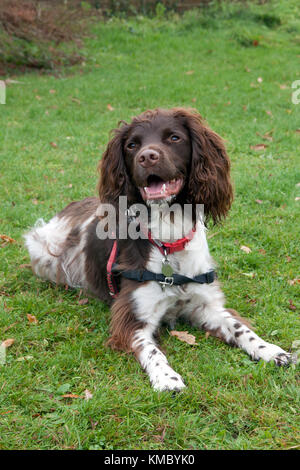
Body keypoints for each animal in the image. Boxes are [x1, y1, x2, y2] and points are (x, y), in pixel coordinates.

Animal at [24, 108, 292, 392]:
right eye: (132, 145)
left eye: (174, 137)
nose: (147, 156)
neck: (168, 240)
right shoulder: (131, 319)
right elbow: (151, 350)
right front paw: (167, 377)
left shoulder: (207, 305)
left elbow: (240, 327)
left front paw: (270, 350)